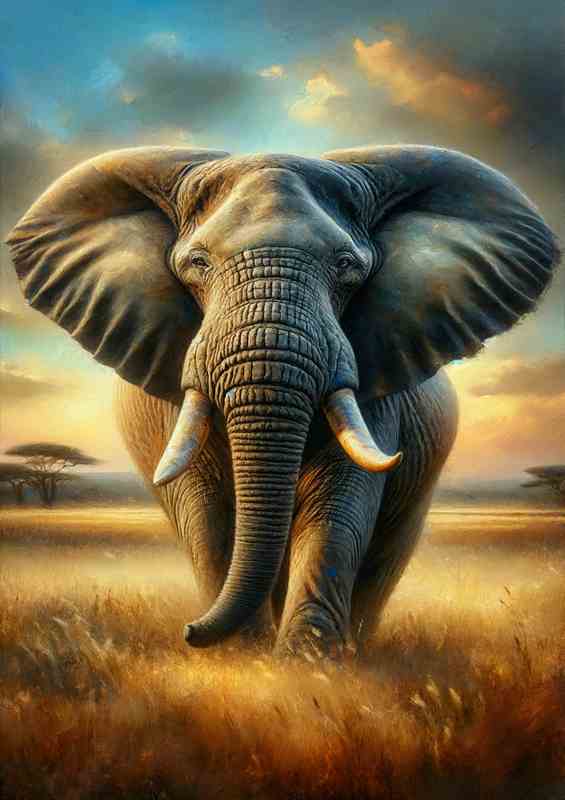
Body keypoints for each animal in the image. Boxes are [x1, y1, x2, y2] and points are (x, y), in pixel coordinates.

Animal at [6, 144, 559, 658]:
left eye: (347, 266)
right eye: (196, 263)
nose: (189, 631)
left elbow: (339, 502)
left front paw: (309, 660)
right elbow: (205, 508)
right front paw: (242, 655)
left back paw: (357, 645)